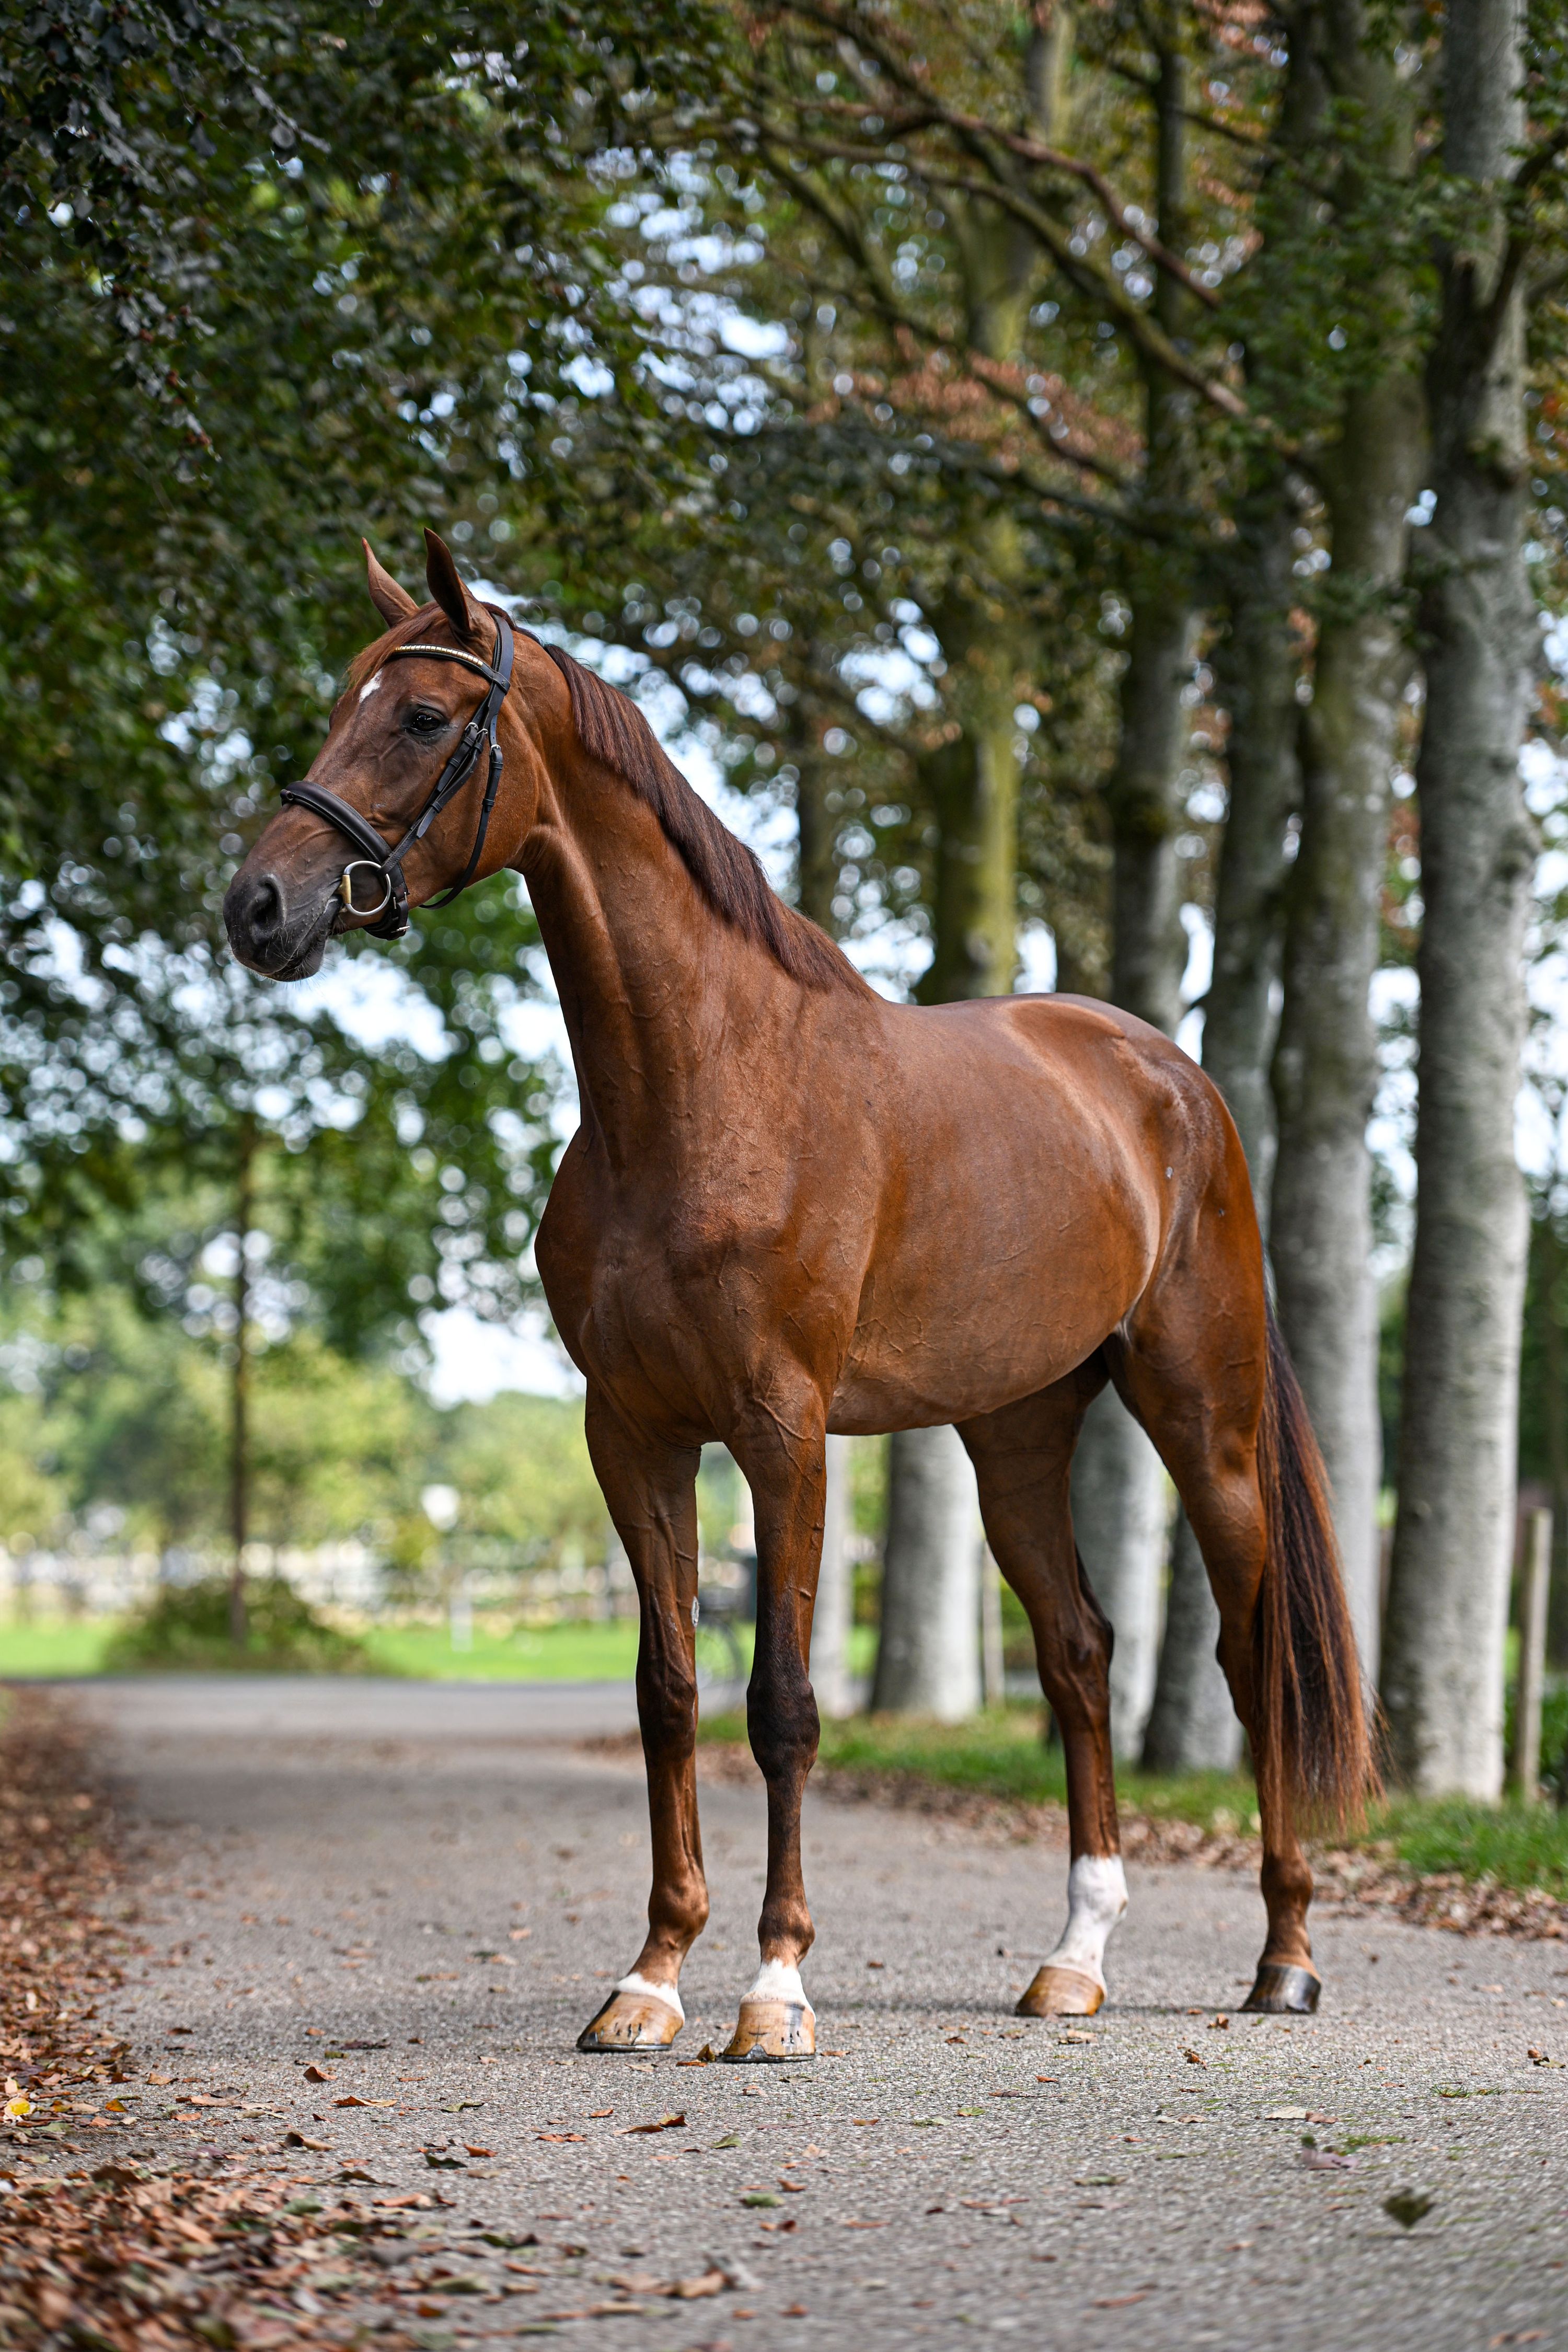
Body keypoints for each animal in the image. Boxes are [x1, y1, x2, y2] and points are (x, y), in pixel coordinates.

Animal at [225, 530, 1370, 2059]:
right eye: (340, 702)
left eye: (418, 715)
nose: (258, 906)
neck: (703, 1093)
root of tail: (1172, 1081)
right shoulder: (633, 1431)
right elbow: (668, 1692)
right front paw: (651, 1976)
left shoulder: (783, 1429)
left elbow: (781, 1702)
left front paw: (773, 1986)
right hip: (1015, 1430)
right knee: (1075, 1651)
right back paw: (1072, 1958)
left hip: (1207, 1419)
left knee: (1253, 1660)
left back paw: (1284, 1956)